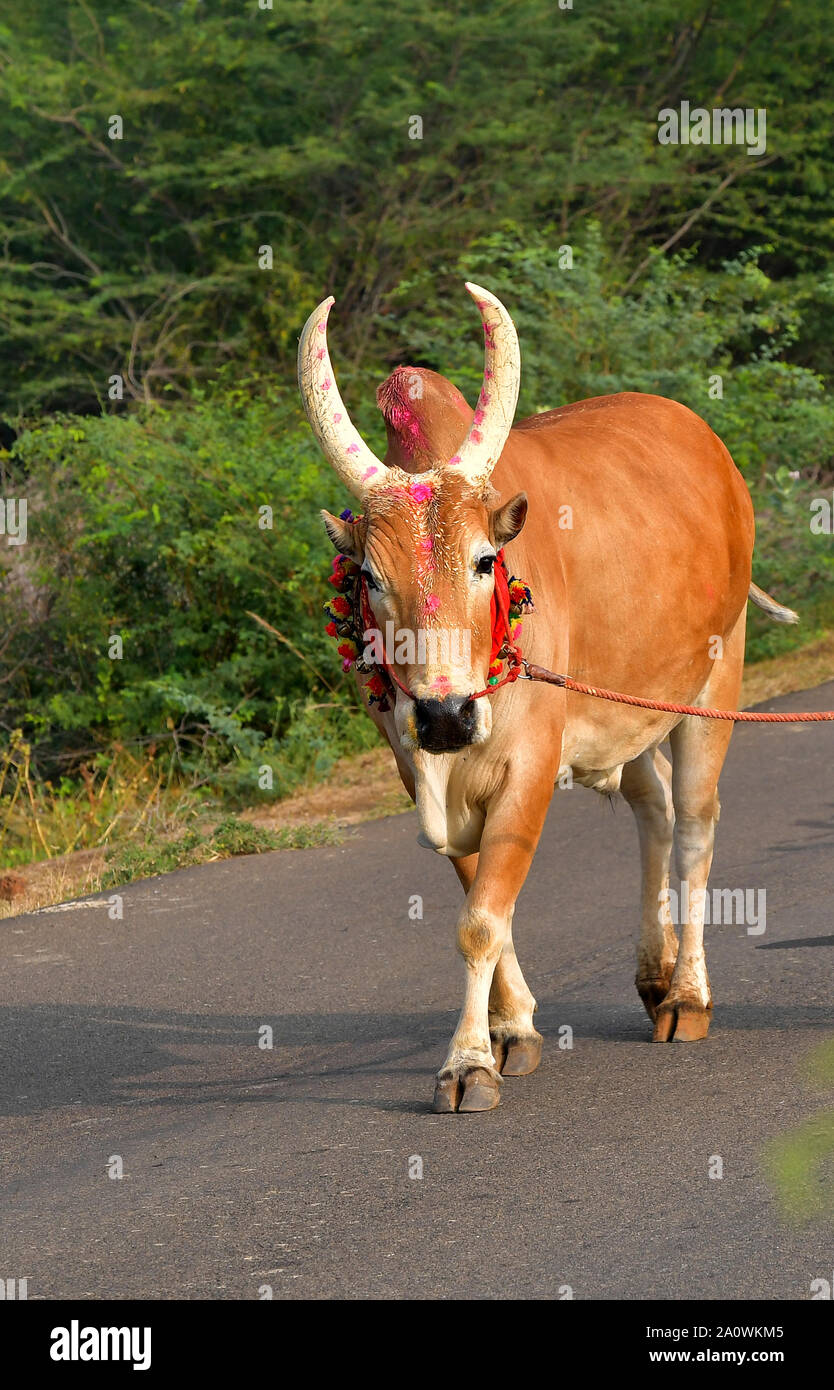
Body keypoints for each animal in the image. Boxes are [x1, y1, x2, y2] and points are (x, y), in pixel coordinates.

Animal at [297, 279, 795, 1106]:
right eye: (367, 575)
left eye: (483, 559)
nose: (445, 714)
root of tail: (709, 446)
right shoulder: (417, 766)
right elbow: (482, 901)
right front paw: (512, 1029)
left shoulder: (529, 764)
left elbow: (481, 920)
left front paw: (467, 1063)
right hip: (626, 712)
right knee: (655, 810)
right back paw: (653, 975)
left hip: (714, 678)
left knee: (696, 822)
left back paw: (686, 997)